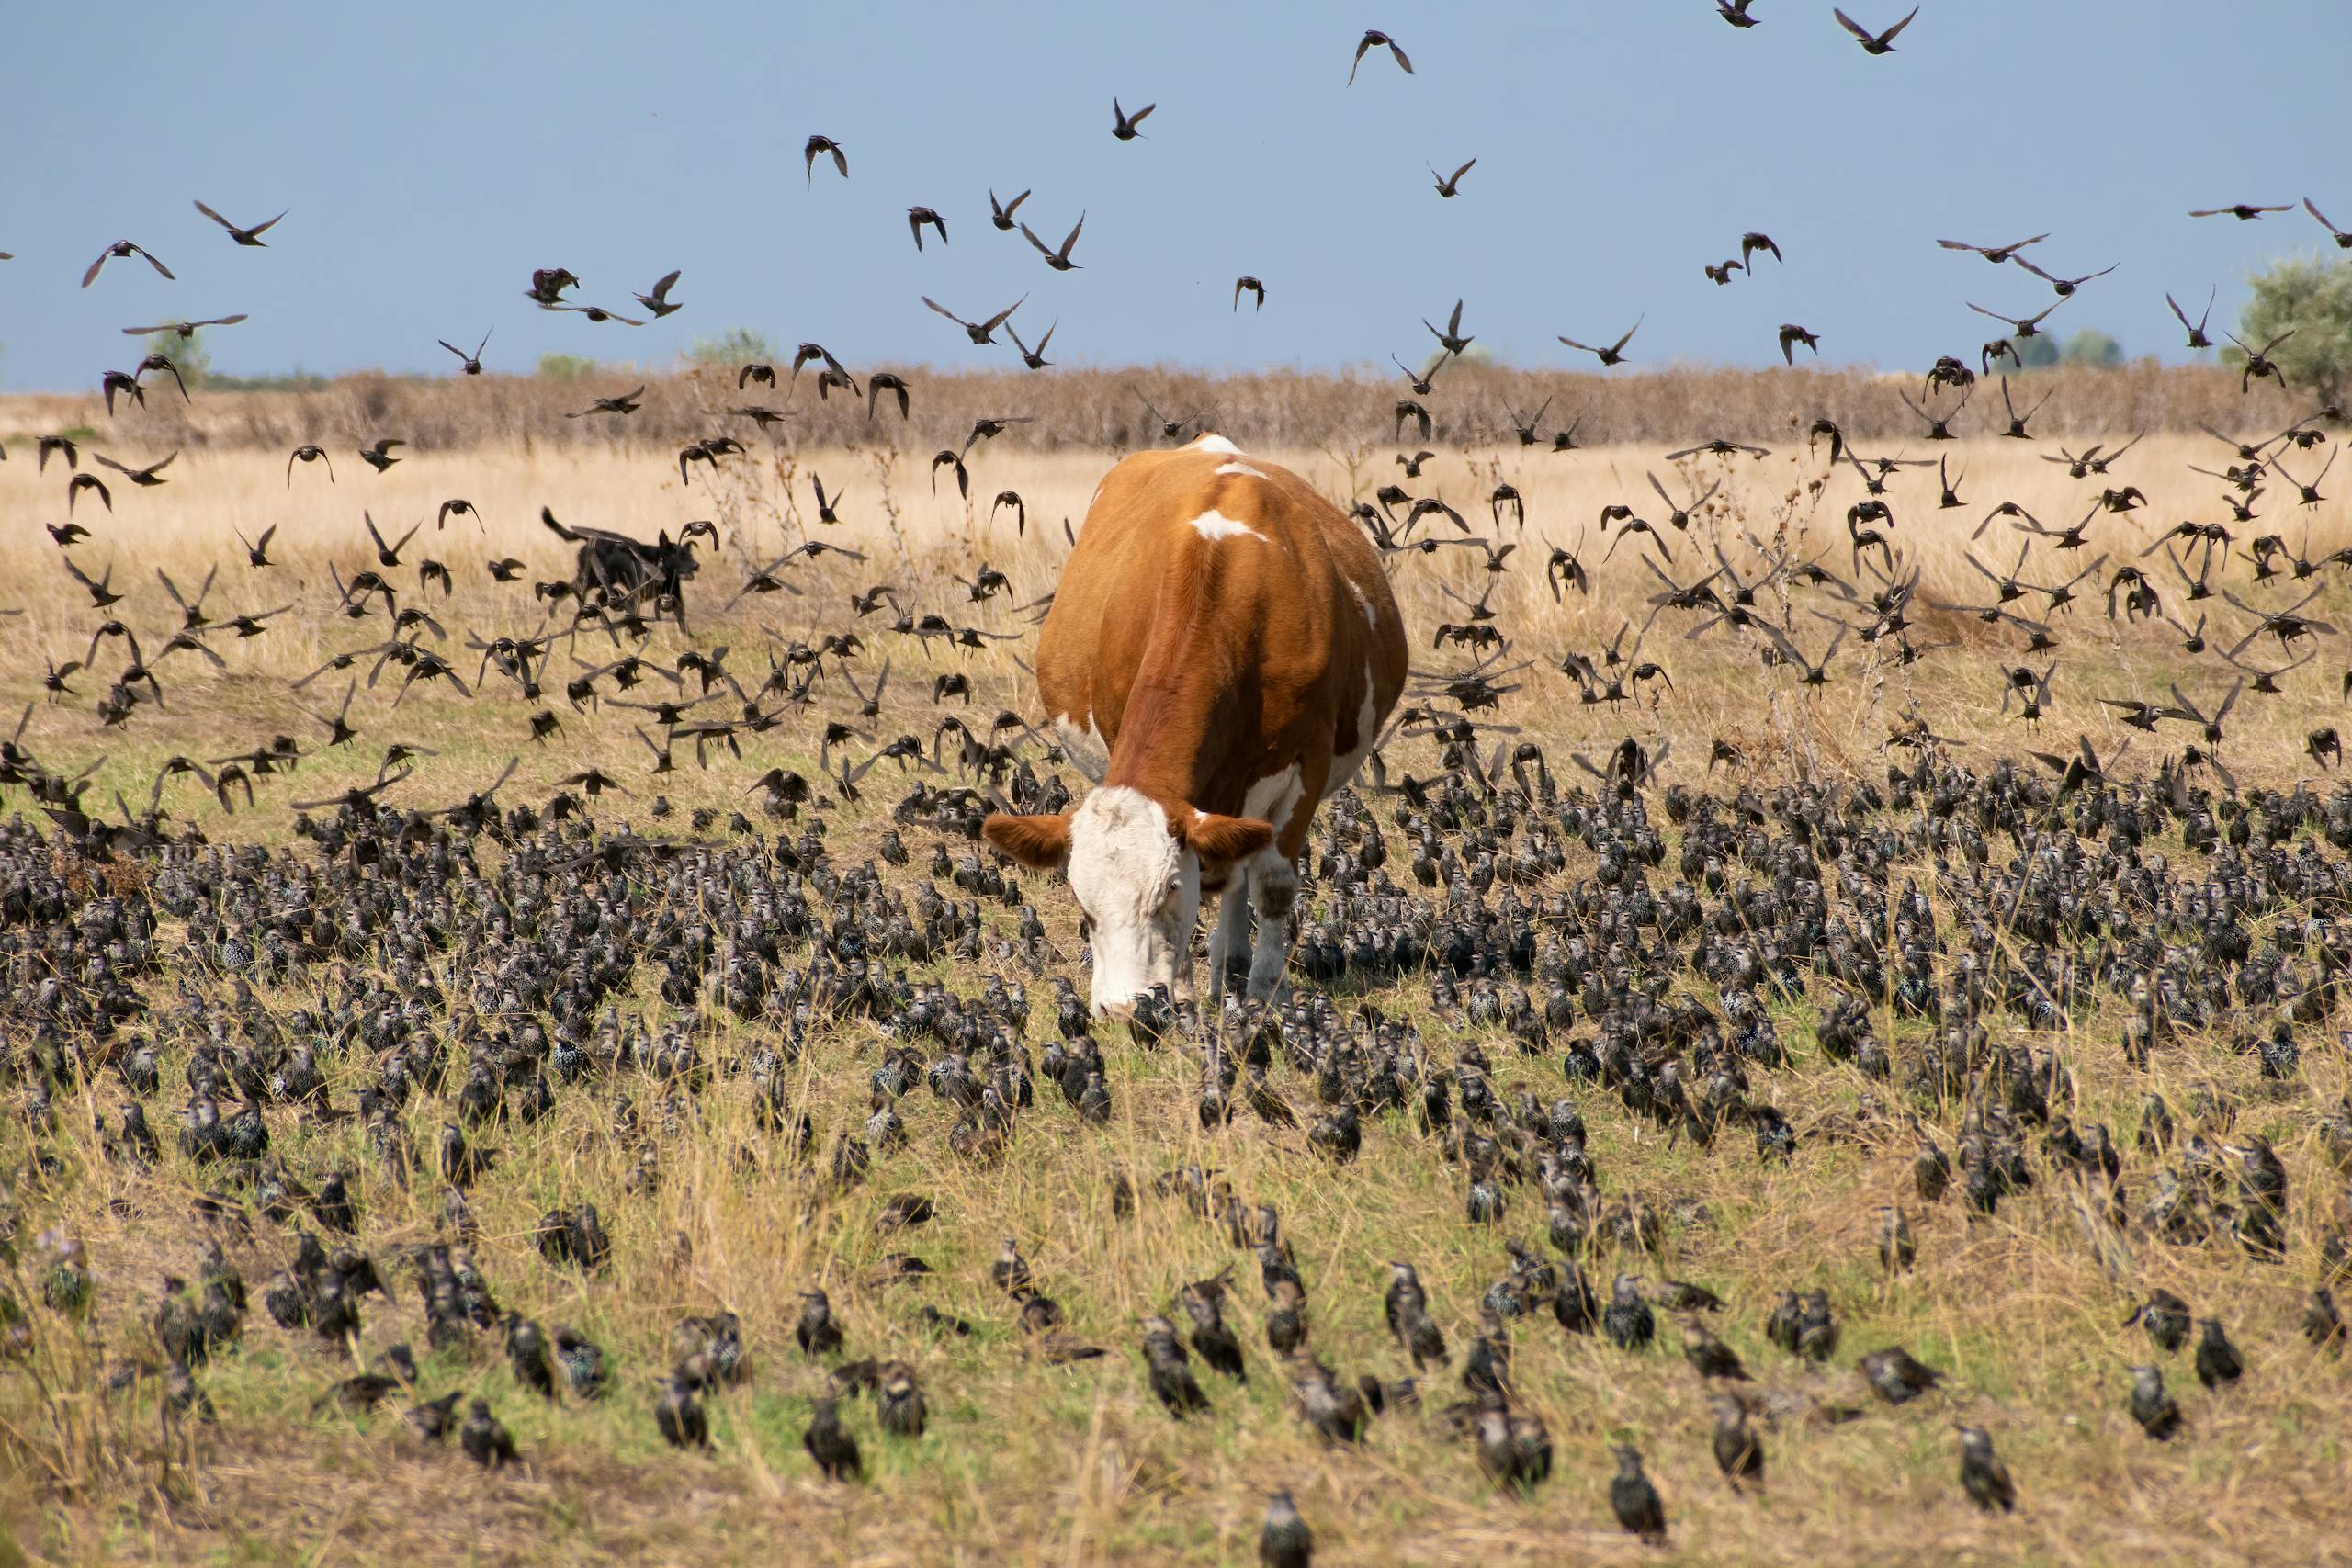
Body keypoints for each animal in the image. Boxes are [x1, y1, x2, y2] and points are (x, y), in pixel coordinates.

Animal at [982, 434, 1408, 1017]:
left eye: (1166, 891)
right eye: (1082, 905)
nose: (1122, 1009)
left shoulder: (1307, 765)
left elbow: (1271, 885)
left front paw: (1265, 991)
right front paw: (1182, 988)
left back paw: (1236, 965)